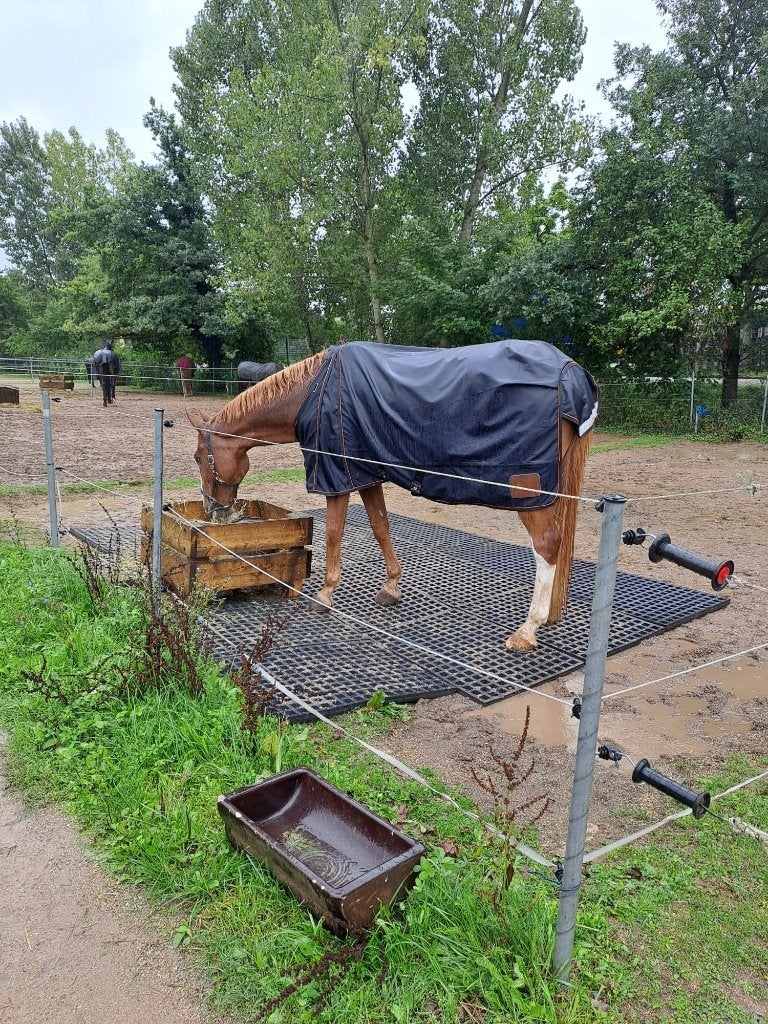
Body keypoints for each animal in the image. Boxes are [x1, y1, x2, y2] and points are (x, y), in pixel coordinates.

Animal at [188, 340, 598, 652]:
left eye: (197, 457)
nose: (212, 511)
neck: (312, 393)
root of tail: (571, 374)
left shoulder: (337, 478)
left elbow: (333, 533)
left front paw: (325, 595)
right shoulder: (367, 475)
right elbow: (380, 527)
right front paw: (391, 588)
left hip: (527, 490)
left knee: (548, 545)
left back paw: (527, 630)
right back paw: (549, 618)